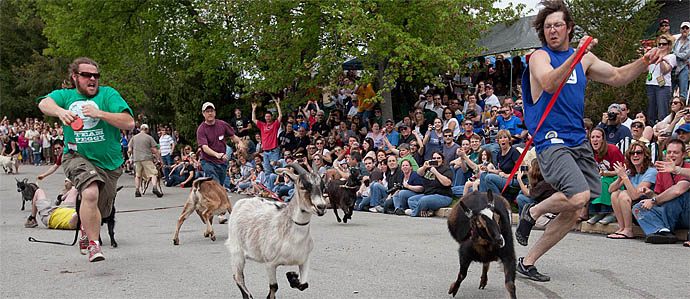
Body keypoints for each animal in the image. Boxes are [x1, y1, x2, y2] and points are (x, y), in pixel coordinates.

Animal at [223, 164, 326, 299]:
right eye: (303, 186)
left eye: (323, 186)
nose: (321, 207)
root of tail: (242, 202)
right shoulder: (270, 263)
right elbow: (274, 286)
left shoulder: (304, 260)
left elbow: (304, 285)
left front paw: (292, 277)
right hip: (237, 251)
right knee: (238, 277)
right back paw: (248, 296)